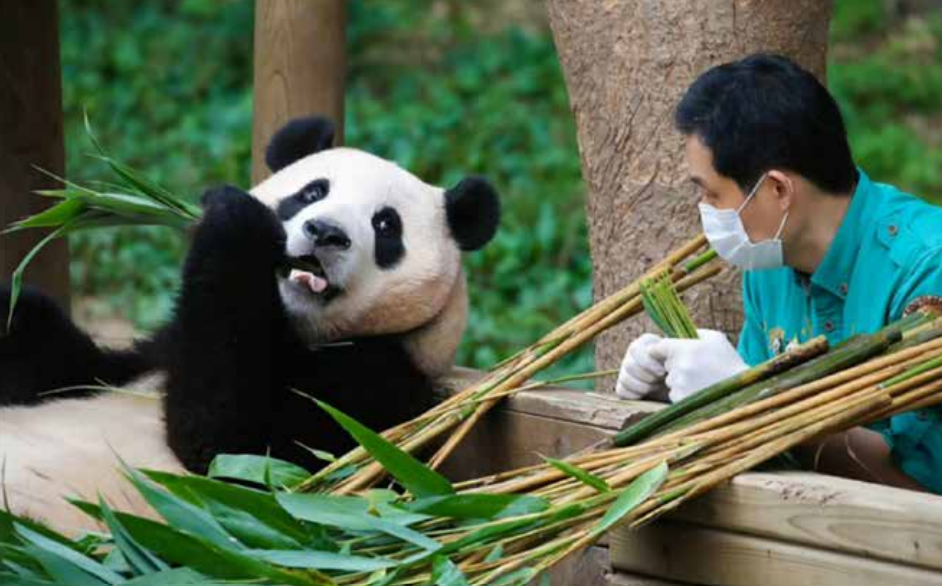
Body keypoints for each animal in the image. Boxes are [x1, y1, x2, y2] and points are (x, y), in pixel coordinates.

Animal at [0, 115, 502, 532]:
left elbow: (236, 450)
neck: (296, 328)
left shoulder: (379, 393)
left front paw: (234, 215)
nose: (325, 233)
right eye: (312, 192)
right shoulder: (160, 350)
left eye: (385, 226)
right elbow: (62, 368)